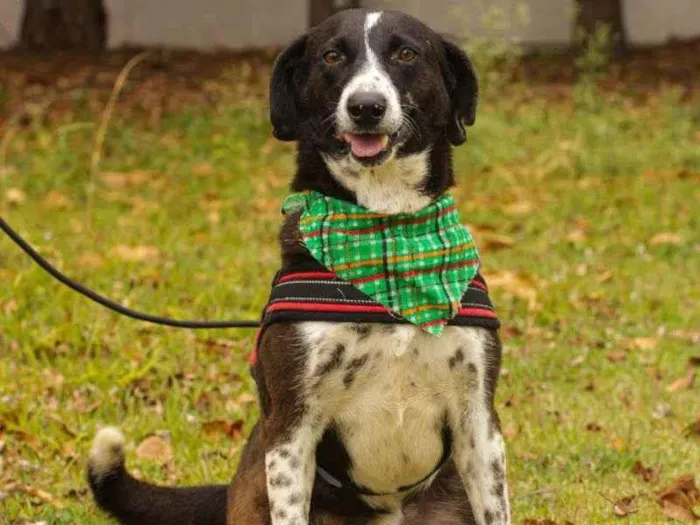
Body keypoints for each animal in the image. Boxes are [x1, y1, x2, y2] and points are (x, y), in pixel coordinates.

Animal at [90, 8, 512, 524]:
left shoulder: (478, 420)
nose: (366, 107)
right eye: (331, 56)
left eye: (406, 53)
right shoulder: (293, 428)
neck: (386, 227)